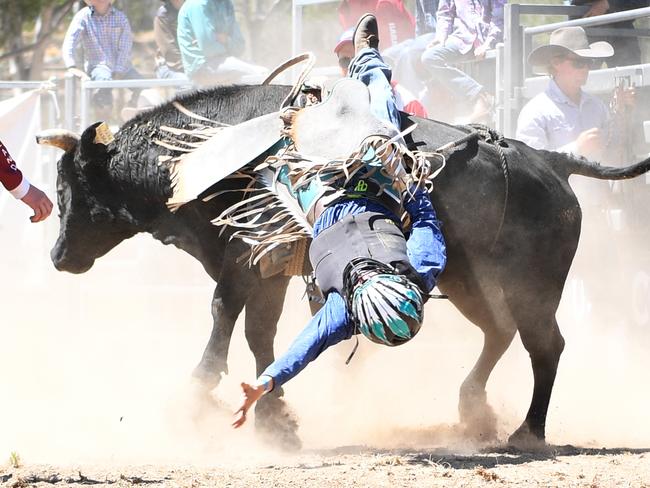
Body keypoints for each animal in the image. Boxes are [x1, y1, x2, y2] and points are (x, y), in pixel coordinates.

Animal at [38, 84, 648, 450]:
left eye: (74, 188)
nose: (58, 257)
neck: (210, 157)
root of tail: (551, 160)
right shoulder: (268, 268)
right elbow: (261, 334)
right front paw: (275, 418)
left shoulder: (243, 258)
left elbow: (223, 316)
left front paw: (194, 399)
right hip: (468, 280)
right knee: (499, 333)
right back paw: (474, 412)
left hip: (532, 287)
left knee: (545, 345)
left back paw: (527, 430)